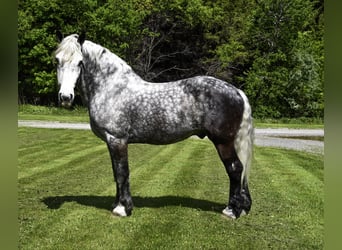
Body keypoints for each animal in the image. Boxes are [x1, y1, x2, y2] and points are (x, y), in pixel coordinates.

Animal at [54, 32, 252, 219]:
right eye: (57, 60)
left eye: (80, 62)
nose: (65, 97)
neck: (112, 89)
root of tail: (236, 91)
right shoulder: (111, 142)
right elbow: (116, 173)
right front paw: (117, 204)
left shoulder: (117, 140)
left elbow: (122, 173)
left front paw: (123, 209)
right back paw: (242, 208)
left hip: (223, 142)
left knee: (235, 169)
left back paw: (231, 211)